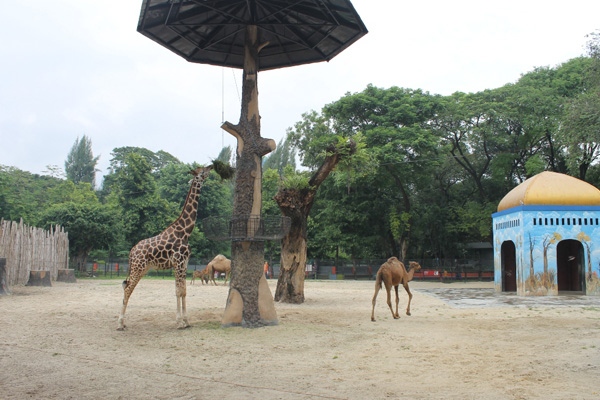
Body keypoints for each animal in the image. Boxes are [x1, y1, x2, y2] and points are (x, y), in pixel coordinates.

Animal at [116, 164, 212, 330]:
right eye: (201, 171)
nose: (211, 166)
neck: (185, 231)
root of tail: (131, 252)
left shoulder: (184, 263)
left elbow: (183, 291)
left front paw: (186, 321)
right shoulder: (179, 262)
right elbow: (178, 291)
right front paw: (180, 322)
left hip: (142, 268)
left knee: (126, 286)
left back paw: (124, 322)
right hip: (138, 267)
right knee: (127, 288)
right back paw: (120, 324)